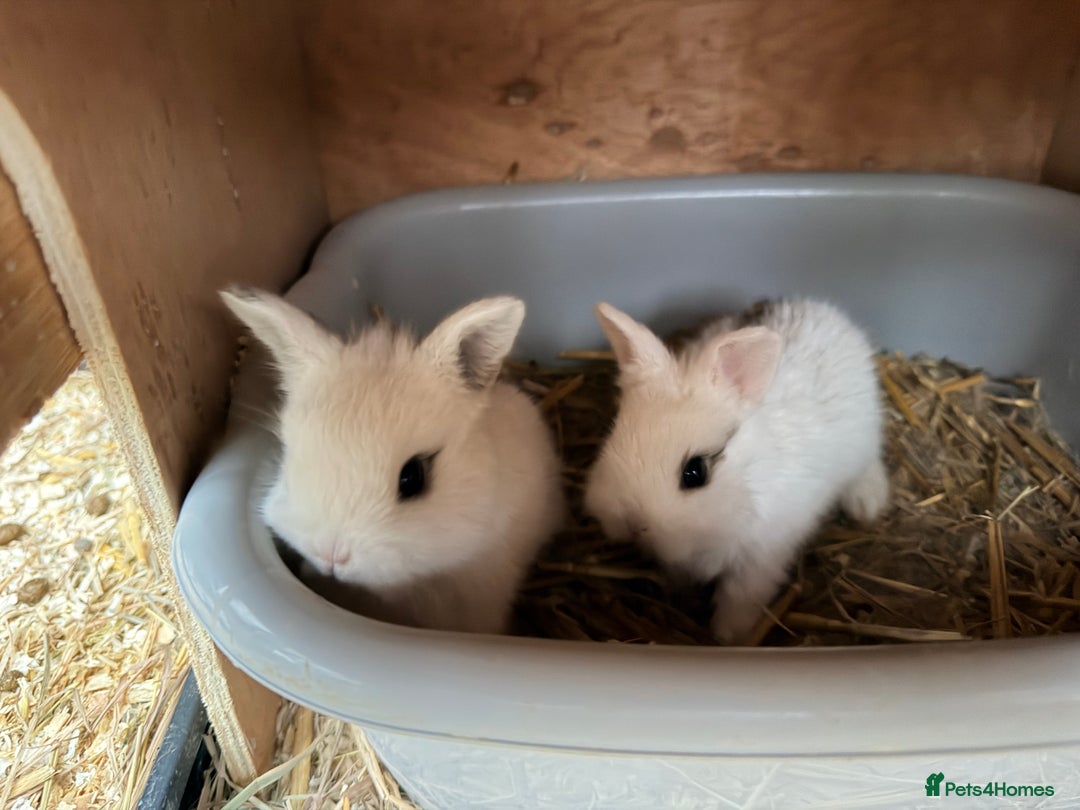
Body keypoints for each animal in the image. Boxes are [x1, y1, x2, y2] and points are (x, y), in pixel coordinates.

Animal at [583, 298, 889, 644]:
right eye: (612, 435)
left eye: (695, 472)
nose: (631, 523)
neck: (744, 482)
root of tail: (821, 308)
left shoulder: (760, 557)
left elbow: (741, 597)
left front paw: (728, 636)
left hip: (864, 439)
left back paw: (867, 504)